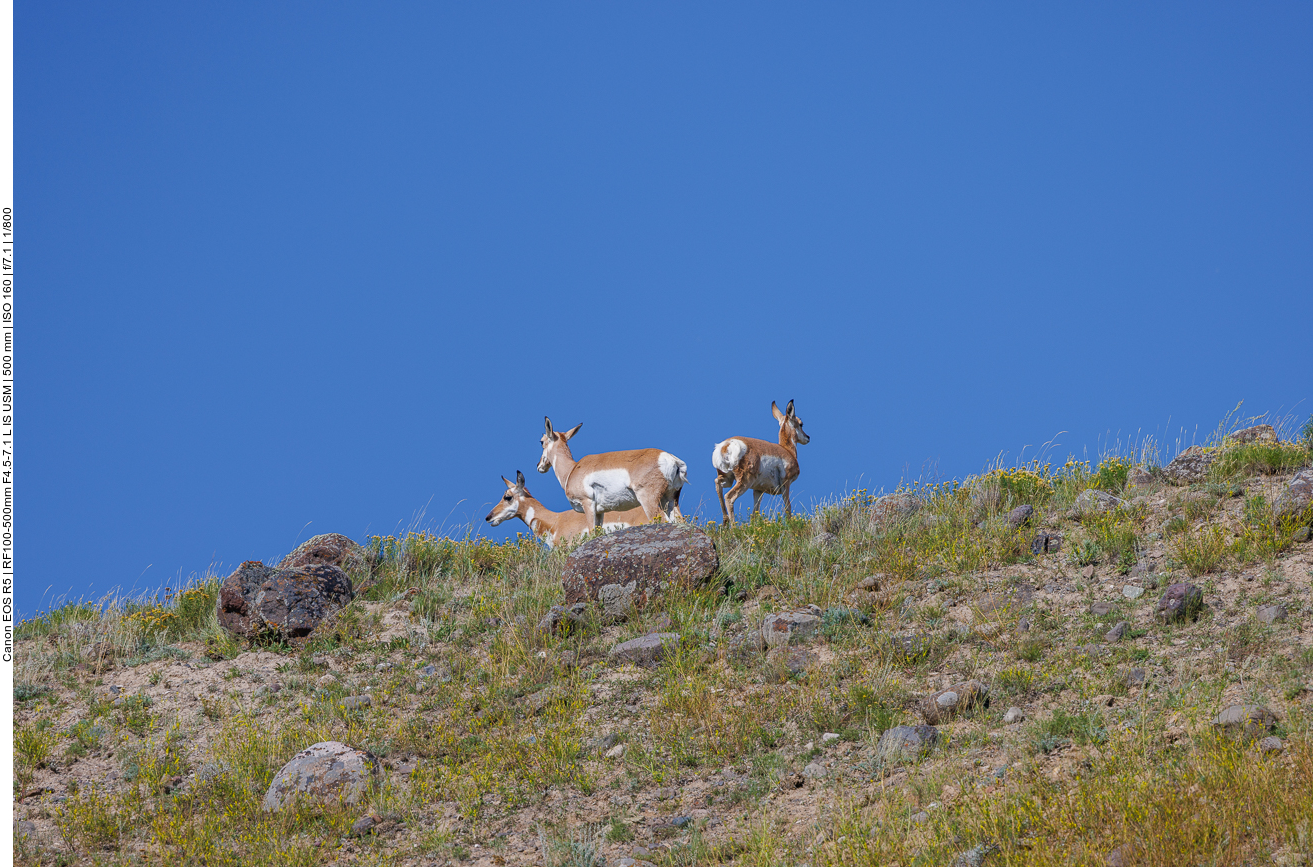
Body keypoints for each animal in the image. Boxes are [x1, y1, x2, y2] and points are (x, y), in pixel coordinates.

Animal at [538, 417, 693, 525]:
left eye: (541, 441)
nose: (539, 466)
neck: (572, 469)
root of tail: (671, 458)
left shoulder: (587, 504)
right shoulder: (600, 512)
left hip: (649, 500)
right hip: (670, 500)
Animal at [714, 396, 803, 525]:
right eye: (801, 424)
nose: (808, 437)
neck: (786, 450)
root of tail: (727, 445)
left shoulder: (758, 490)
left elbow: (755, 513)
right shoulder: (786, 484)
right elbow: (788, 507)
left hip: (727, 479)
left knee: (718, 484)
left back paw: (725, 522)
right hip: (745, 480)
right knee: (729, 497)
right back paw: (734, 527)